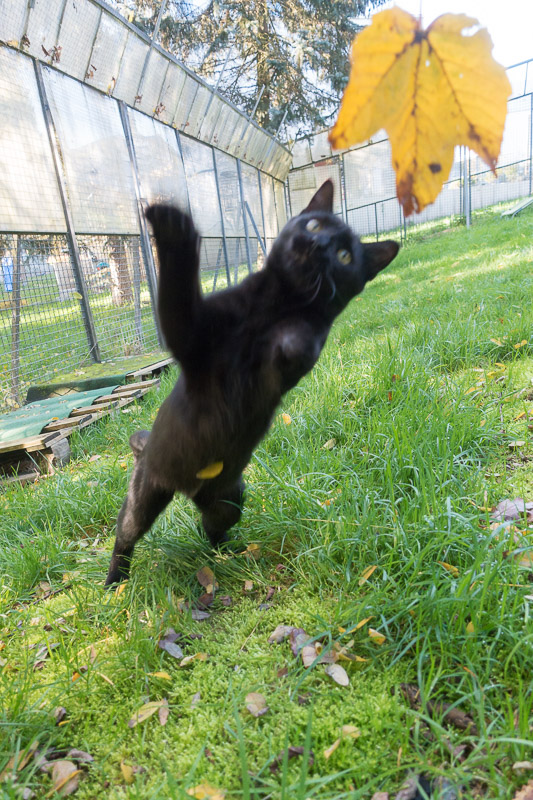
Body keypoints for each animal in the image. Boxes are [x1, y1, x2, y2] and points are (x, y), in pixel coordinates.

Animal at [104, 180, 396, 588]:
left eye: (344, 256)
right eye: (314, 226)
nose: (319, 245)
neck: (271, 307)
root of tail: (185, 489)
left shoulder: (297, 347)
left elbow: (304, 333)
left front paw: (289, 339)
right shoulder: (188, 333)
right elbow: (179, 288)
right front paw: (173, 226)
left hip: (229, 499)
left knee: (210, 526)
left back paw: (229, 552)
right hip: (145, 496)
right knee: (125, 536)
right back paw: (115, 581)